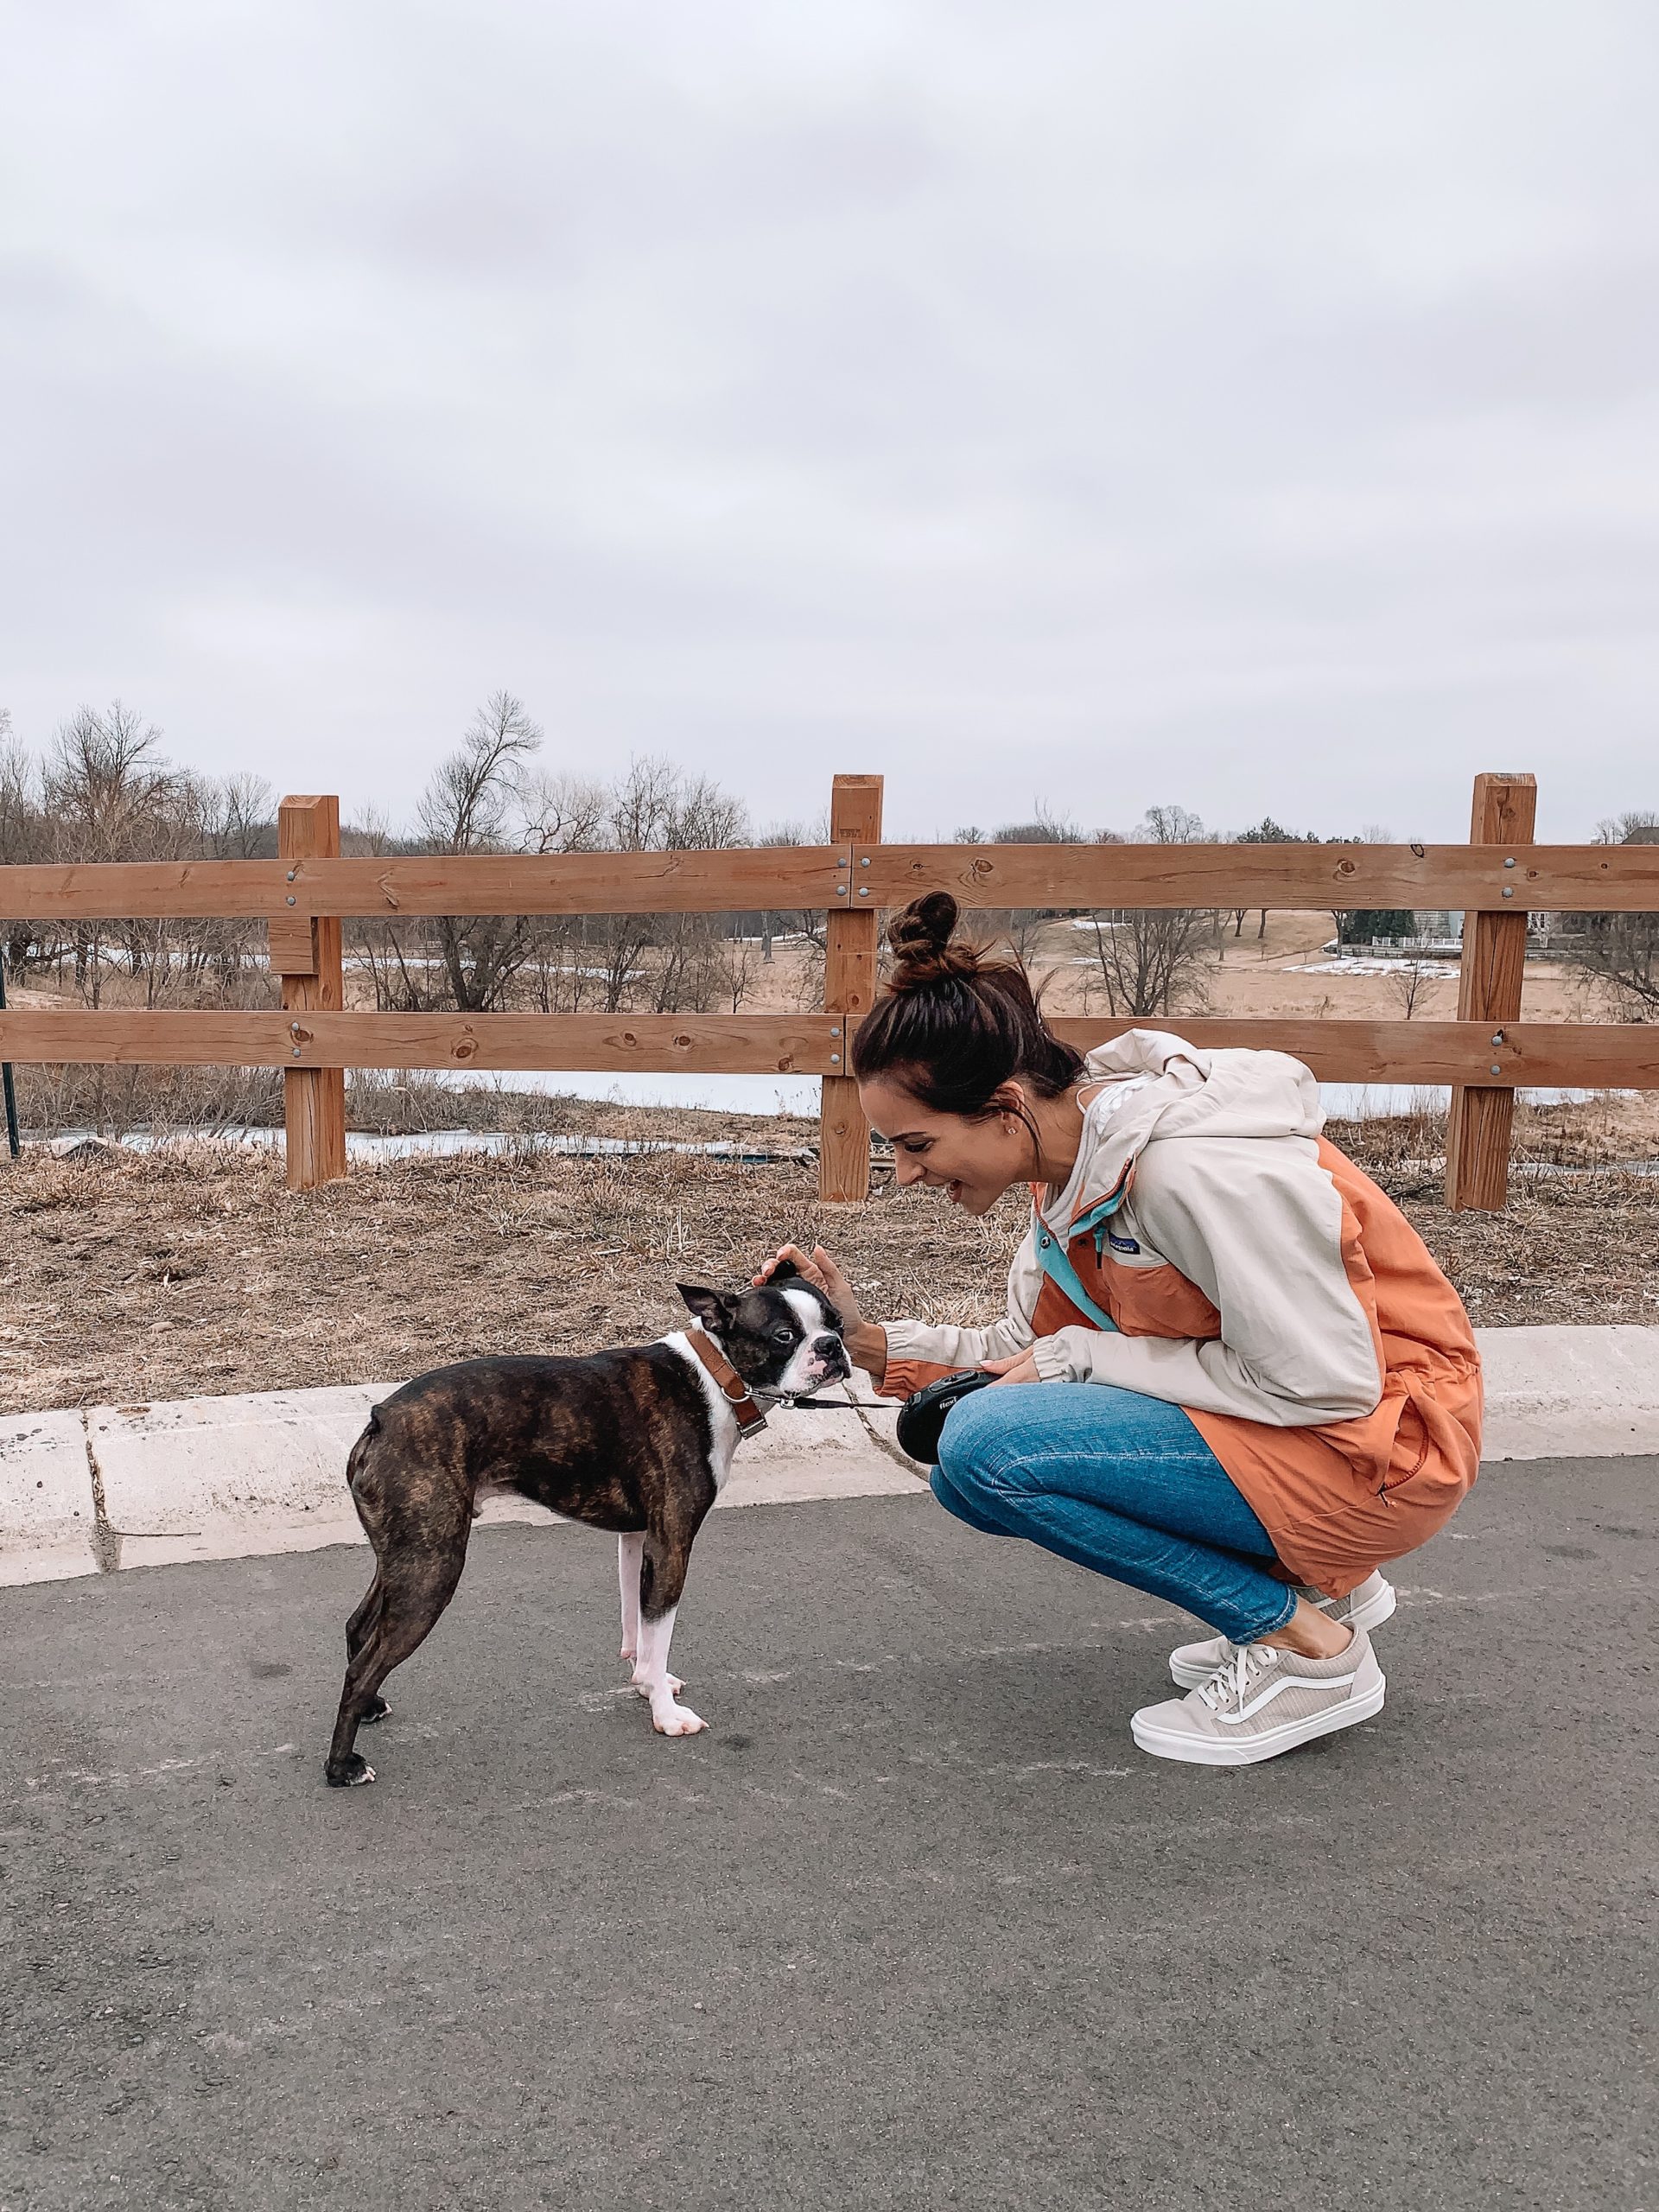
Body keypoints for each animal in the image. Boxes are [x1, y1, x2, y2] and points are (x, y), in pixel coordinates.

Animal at [322, 1265, 849, 1778]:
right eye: (784, 1336)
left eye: (838, 1322)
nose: (831, 1346)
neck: (715, 1376)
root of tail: (381, 1418)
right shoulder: (671, 1548)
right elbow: (659, 1632)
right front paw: (665, 1715)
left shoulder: (638, 1540)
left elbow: (639, 1627)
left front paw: (646, 1683)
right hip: (432, 1569)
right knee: (363, 1666)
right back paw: (342, 1765)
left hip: (406, 1556)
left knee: (359, 1626)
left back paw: (370, 1708)